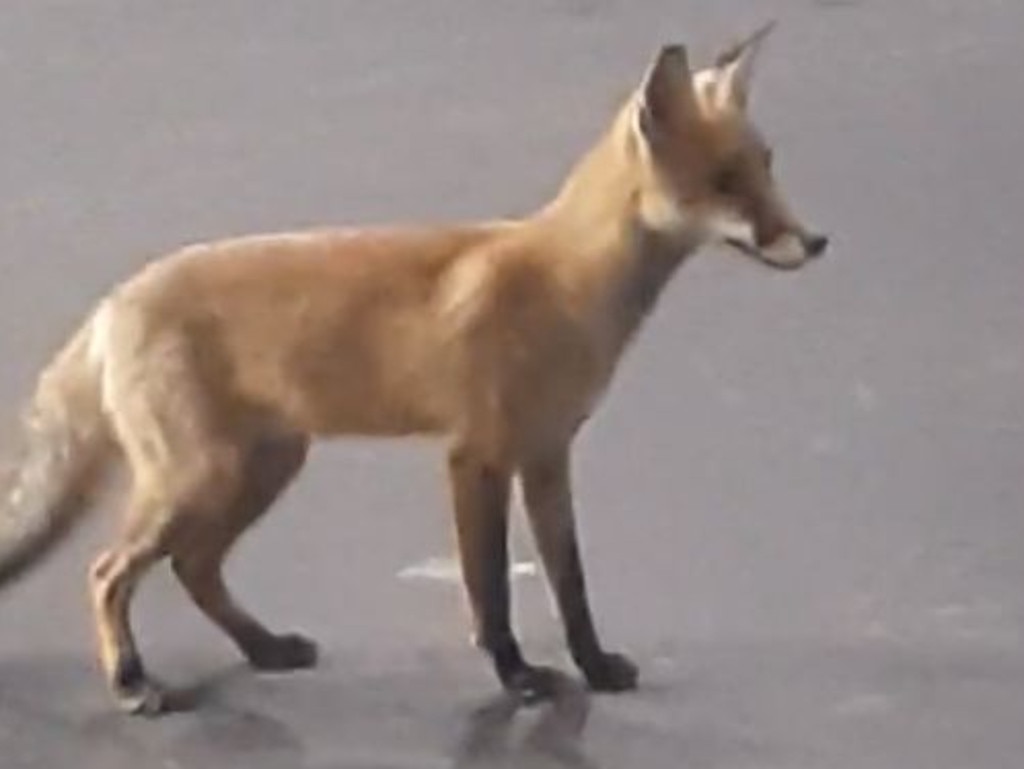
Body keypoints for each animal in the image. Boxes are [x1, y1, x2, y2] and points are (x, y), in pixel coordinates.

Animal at [0, 25, 823, 720]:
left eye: (766, 166)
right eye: (724, 181)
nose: (815, 242)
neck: (568, 287)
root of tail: (114, 300)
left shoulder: (548, 455)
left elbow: (571, 584)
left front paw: (593, 668)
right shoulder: (476, 455)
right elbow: (490, 591)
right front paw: (519, 678)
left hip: (261, 468)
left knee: (193, 566)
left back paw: (264, 648)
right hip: (199, 477)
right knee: (108, 571)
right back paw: (131, 681)